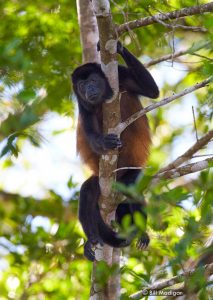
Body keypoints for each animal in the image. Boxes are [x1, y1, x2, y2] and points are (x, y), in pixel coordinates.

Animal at [72, 41, 159, 260]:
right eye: (82, 85)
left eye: (93, 80)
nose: (89, 89)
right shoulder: (83, 106)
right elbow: (92, 138)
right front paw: (104, 141)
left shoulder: (120, 75)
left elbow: (152, 91)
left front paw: (118, 46)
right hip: (98, 181)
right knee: (86, 194)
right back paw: (92, 240)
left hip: (130, 173)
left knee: (133, 187)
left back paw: (141, 232)